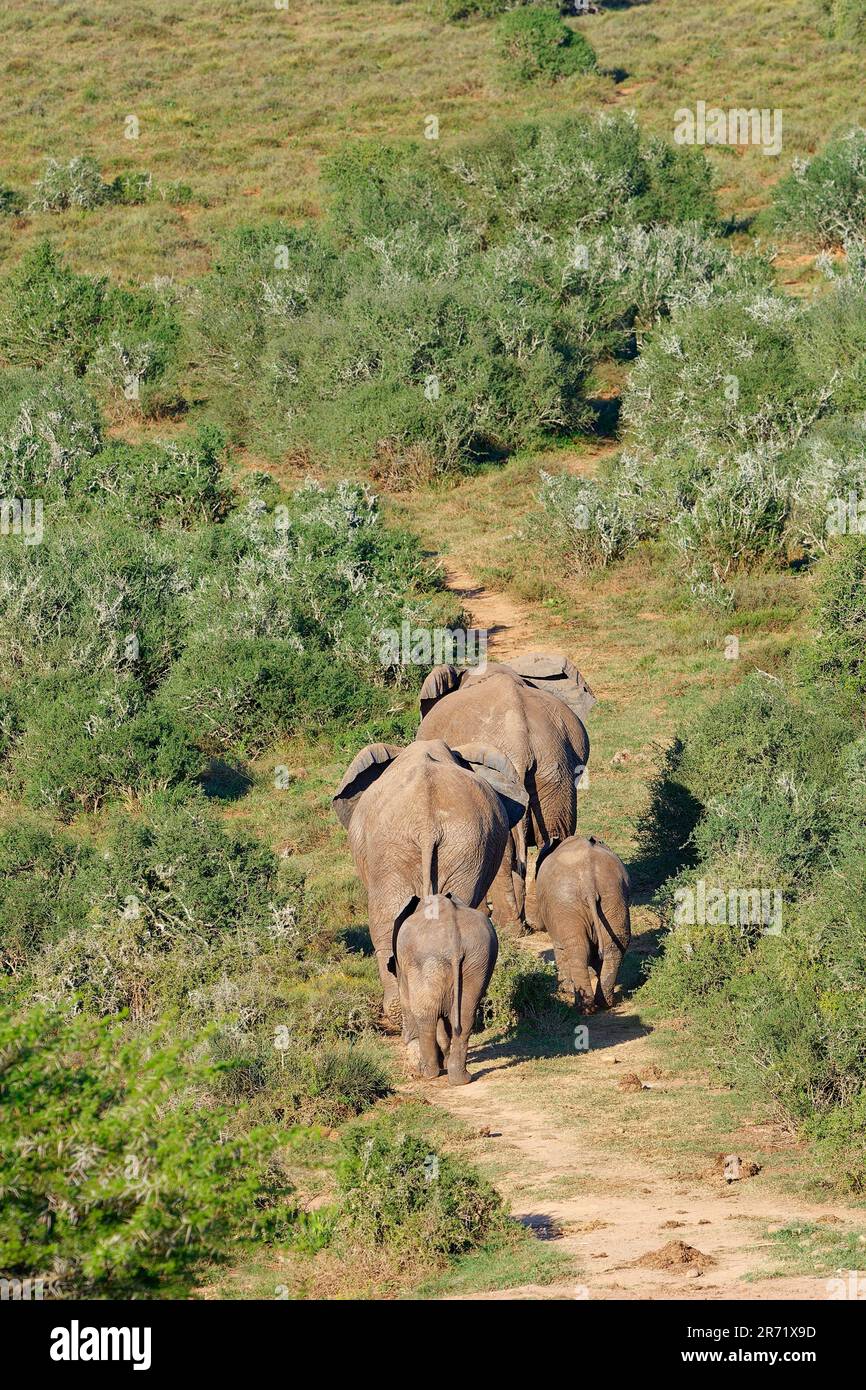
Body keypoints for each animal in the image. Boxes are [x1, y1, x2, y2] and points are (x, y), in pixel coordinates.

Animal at [389, 889, 497, 1084]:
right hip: (478, 958)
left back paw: (428, 1073)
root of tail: (455, 939)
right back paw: (461, 1078)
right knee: (465, 1015)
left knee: (426, 1015)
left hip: (427, 960)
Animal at [414, 653, 592, 934]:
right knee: (554, 836)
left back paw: (506, 925)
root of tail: (518, 739)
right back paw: (536, 922)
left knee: (503, 847)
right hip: (554, 767)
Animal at [536, 828, 631, 1017]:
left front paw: (565, 990)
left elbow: (560, 948)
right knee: (614, 945)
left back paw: (585, 1008)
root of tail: (589, 884)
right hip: (614, 895)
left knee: (577, 950)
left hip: (566, 903)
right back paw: (604, 1003)